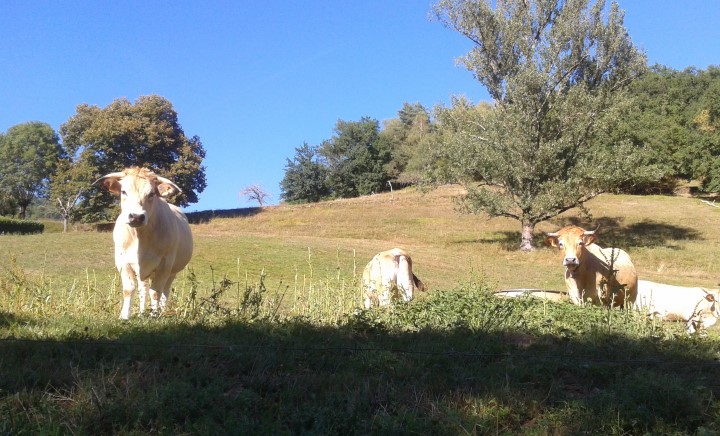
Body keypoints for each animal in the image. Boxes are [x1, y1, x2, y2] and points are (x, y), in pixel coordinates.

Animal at [99, 167, 194, 320]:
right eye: (124, 191)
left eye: (151, 194)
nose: (136, 217)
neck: (140, 238)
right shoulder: (122, 261)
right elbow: (129, 289)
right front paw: (124, 316)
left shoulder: (165, 264)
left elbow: (155, 292)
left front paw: (154, 315)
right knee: (143, 289)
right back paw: (142, 312)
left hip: (171, 272)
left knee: (164, 292)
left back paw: (160, 311)